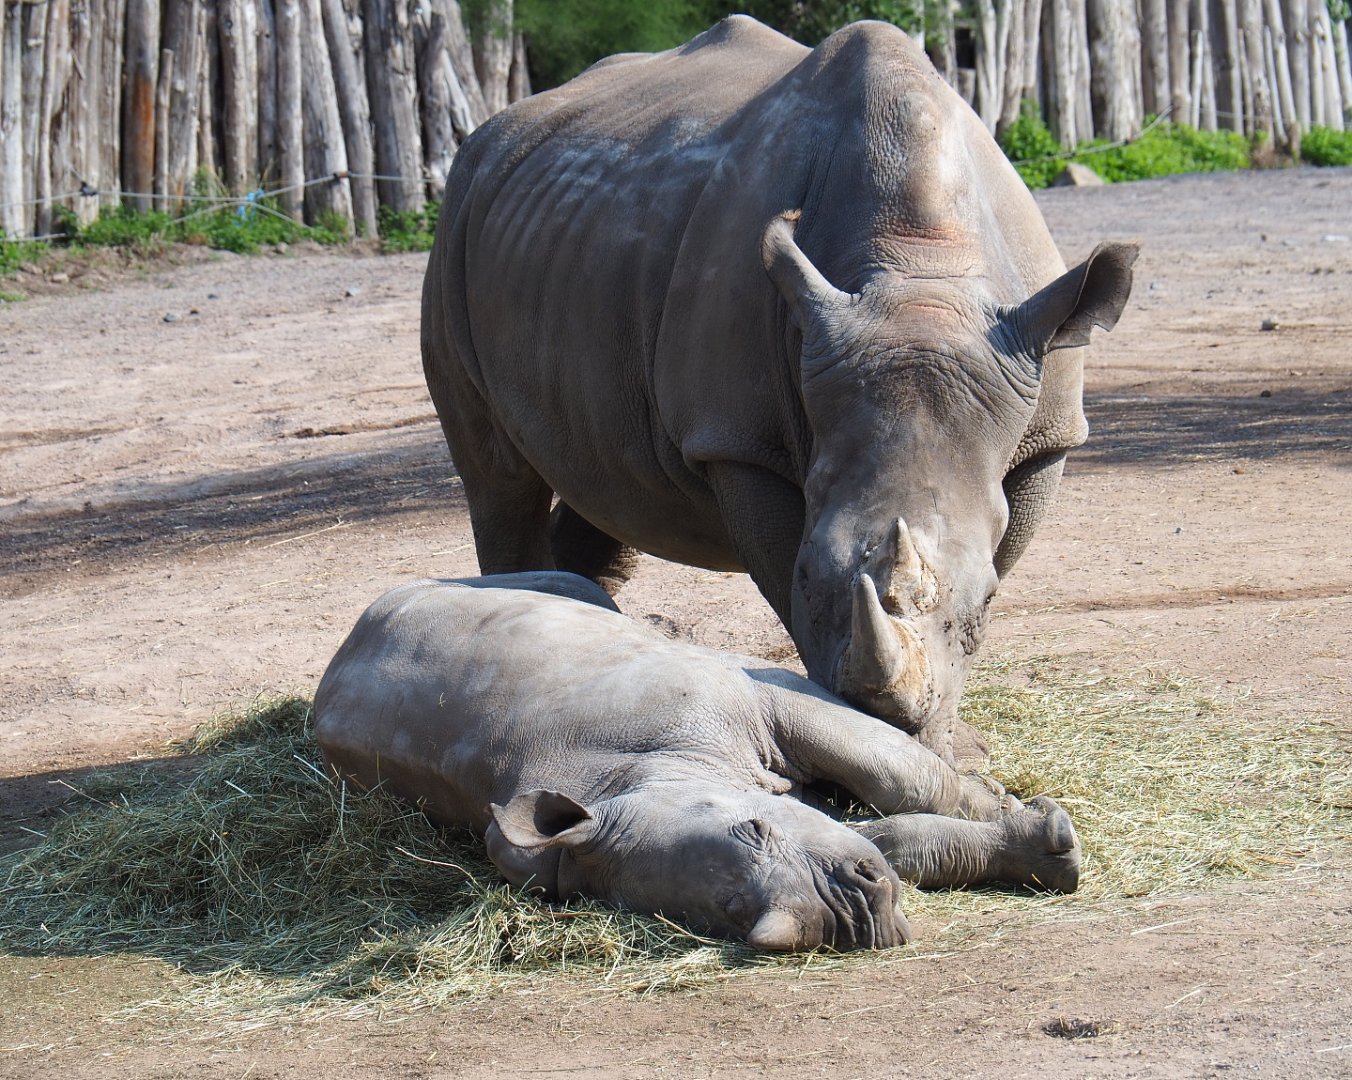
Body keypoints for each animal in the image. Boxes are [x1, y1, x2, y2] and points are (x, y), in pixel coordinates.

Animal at [315, 574, 1082, 952]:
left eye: (754, 831)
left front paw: (1028, 817)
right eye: (733, 914)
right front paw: (1043, 847)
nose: (850, 918)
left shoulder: (745, 695)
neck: (621, 782)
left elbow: (896, 776)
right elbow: (887, 841)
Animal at [420, 16, 1137, 768]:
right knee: (499, 477)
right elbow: (777, 562)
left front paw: (949, 747)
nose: (894, 722)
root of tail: (493, 133)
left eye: (988, 605)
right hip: (458, 225)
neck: (921, 268)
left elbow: (1002, 540)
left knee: (604, 472)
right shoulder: (740, 439)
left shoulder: (1047, 431)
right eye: (809, 578)